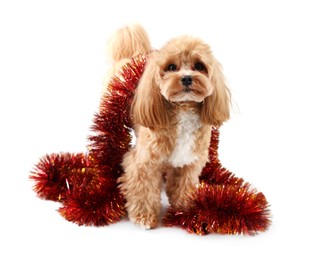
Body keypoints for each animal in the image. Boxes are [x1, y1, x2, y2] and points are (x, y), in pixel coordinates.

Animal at [109, 23, 231, 228]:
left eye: (199, 66)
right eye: (171, 67)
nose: (187, 78)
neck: (183, 110)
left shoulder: (189, 162)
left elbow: (183, 185)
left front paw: (184, 209)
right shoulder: (143, 163)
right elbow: (143, 189)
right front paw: (144, 217)